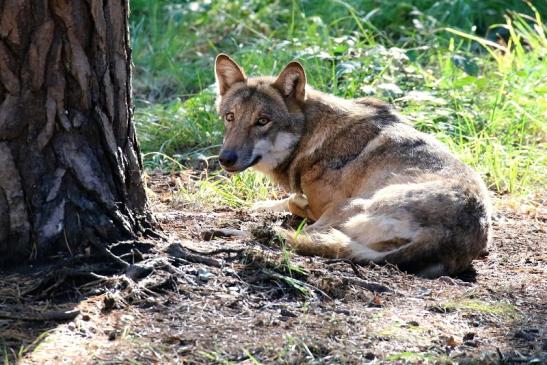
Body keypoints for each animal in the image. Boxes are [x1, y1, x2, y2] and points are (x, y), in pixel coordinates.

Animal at [214, 53, 492, 276]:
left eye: (262, 121)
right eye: (230, 117)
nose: (225, 158)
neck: (310, 137)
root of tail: (445, 236)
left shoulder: (326, 205)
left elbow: (295, 203)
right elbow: (282, 201)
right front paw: (261, 205)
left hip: (350, 205)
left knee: (300, 236)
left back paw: (240, 233)